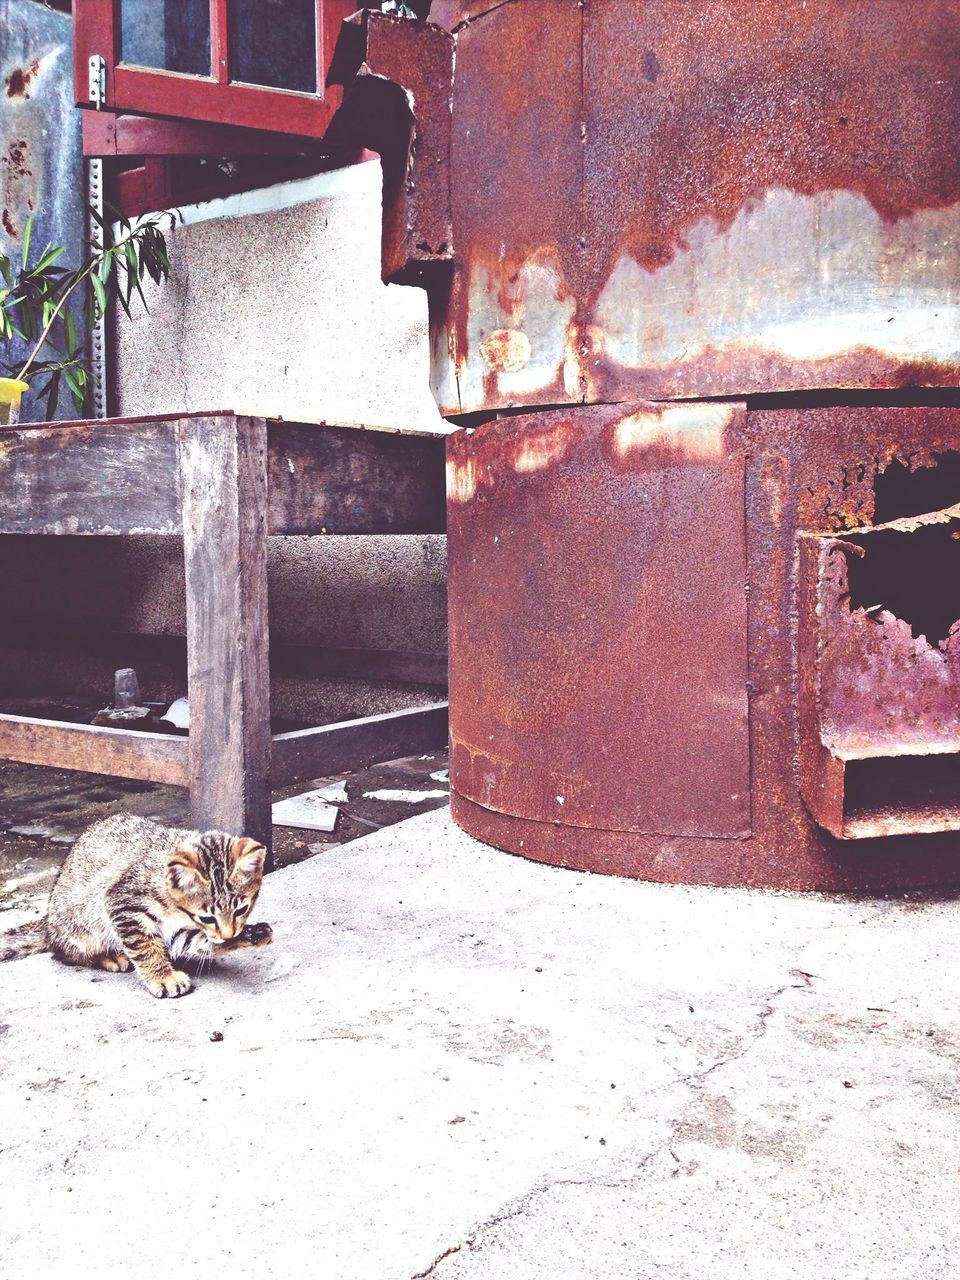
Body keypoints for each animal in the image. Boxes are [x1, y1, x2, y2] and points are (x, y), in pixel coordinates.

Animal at [46, 814, 272, 993]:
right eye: (206, 918)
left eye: (241, 910)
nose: (228, 935)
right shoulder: (122, 903)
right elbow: (144, 945)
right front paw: (163, 977)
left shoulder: (177, 932)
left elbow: (195, 941)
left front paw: (250, 934)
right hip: (79, 926)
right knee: (66, 952)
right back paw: (109, 956)